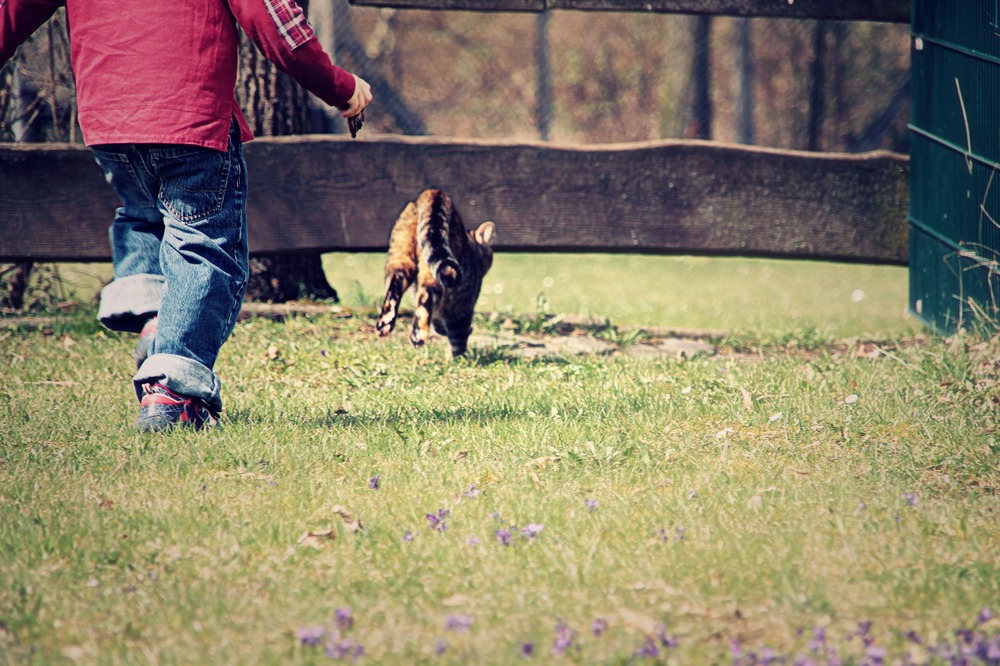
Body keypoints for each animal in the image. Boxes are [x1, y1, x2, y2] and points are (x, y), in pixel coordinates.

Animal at [376, 189, 496, 356]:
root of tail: (435, 193)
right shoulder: (462, 310)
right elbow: (458, 338)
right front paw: (458, 356)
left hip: (400, 257)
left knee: (395, 289)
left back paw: (386, 322)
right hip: (439, 275)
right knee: (426, 297)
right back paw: (418, 335)